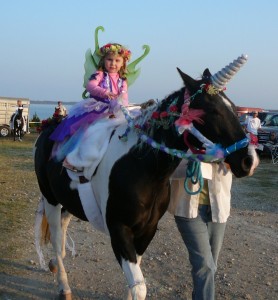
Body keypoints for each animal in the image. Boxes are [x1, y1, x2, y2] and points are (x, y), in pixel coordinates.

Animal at [34, 55, 258, 298]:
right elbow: (139, 286)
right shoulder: (119, 230)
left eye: (234, 108)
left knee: (63, 227)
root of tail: (49, 128)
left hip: (68, 200)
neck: (143, 169)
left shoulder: (146, 231)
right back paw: (63, 285)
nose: (249, 160)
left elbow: (135, 280)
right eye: (212, 111)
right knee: (56, 239)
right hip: (51, 200)